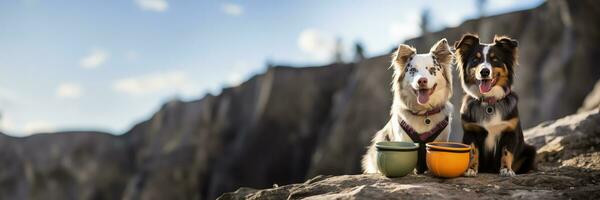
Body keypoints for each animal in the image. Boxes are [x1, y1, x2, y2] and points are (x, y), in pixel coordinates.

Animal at [360, 38, 454, 173]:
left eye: (432, 69)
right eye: (413, 70)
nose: (422, 81)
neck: (424, 113)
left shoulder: (440, 140)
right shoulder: (404, 141)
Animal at [454, 34, 536, 177]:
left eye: (495, 59)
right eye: (476, 60)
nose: (485, 72)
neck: (489, 102)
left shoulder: (510, 131)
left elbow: (506, 152)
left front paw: (507, 170)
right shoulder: (471, 131)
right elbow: (473, 152)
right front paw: (471, 169)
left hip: (530, 149)